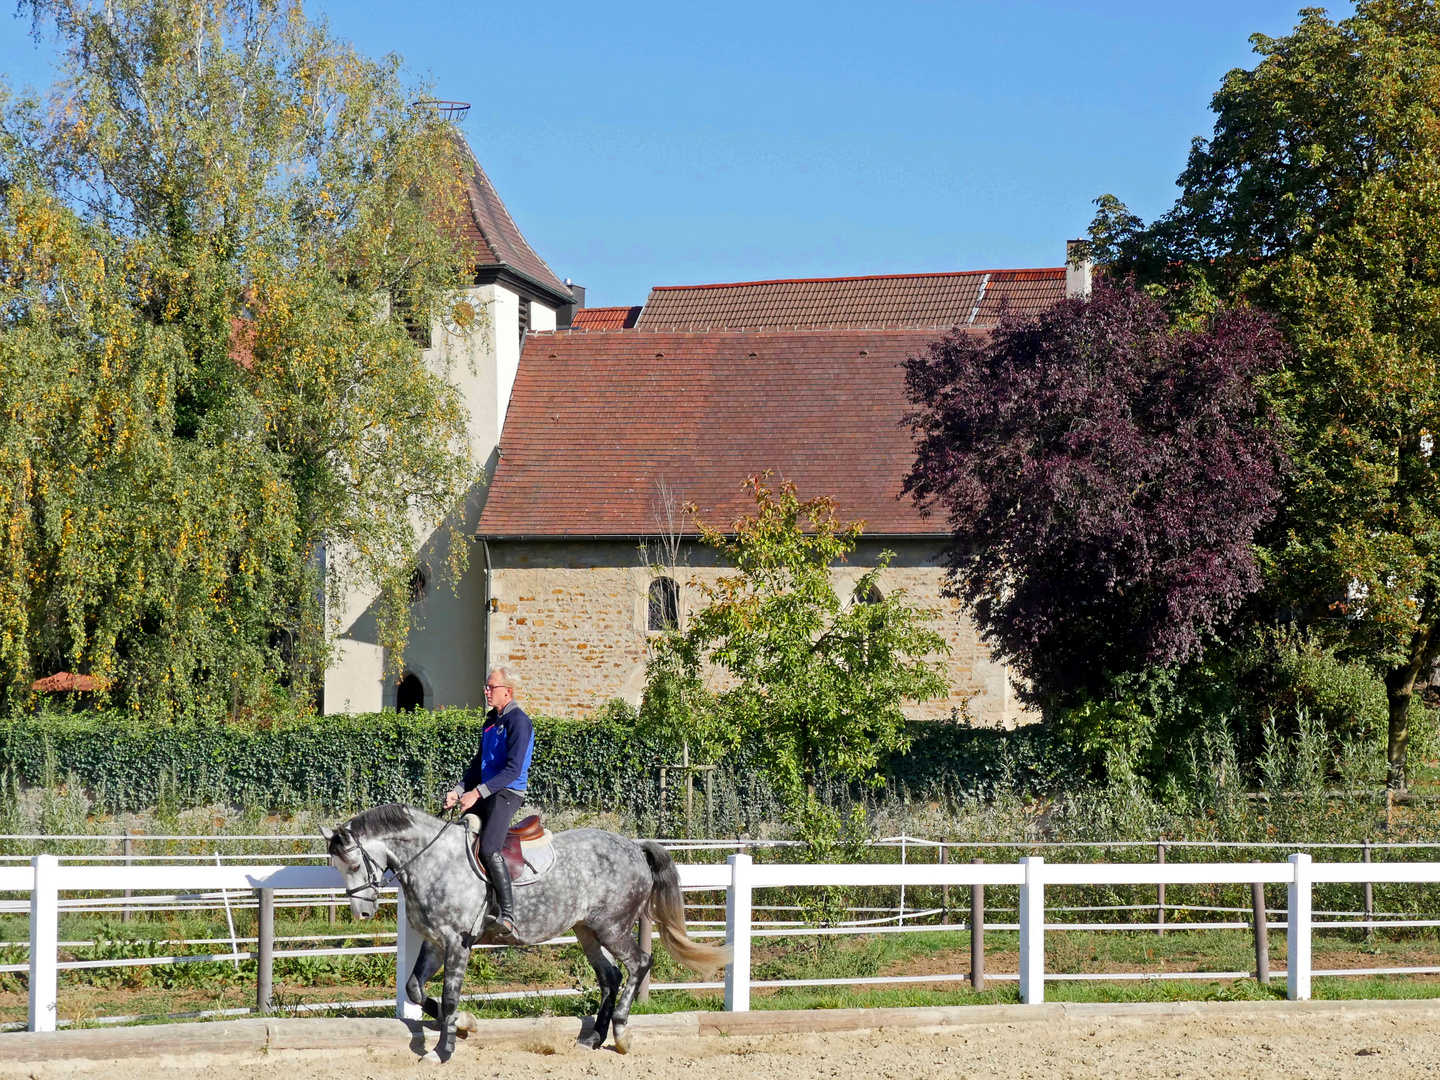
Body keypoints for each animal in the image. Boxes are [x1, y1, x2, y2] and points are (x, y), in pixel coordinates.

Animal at [326, 806, 731, 1065]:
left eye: (353, 862)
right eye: (337, 866)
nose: (362, 913)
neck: (434, 861)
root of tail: (634, 846)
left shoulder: (458, 942)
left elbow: (450, 996)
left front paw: (443, 1051)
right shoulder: (436, 941)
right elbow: (415, 989)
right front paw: (465, 1025)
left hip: (612, 926)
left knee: (639, 963)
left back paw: (621, 1034)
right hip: (585, 930)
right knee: (610, 975)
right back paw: (592, 1038)